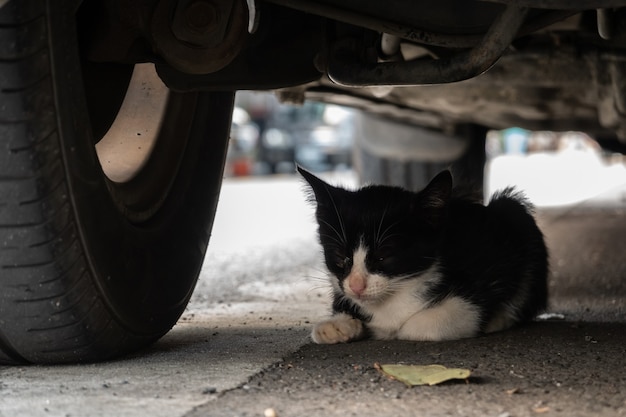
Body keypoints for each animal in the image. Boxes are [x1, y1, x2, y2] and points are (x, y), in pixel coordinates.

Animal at [298, 167, 544, 342]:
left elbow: (422, 326)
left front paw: (389, 330)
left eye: (383, 256)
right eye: (340, 256)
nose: (357, 286)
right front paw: (337, 324)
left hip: (515, 214)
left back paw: (500, 319)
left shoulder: (487, 264)